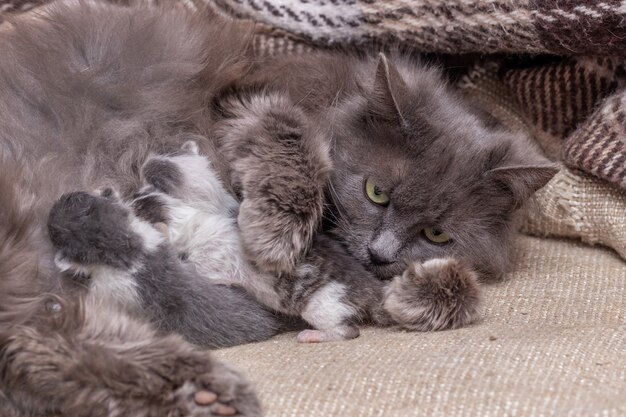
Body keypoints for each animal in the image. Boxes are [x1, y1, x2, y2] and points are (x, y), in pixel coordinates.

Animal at [0, 1, 556, 414]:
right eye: (376, 192)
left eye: (436, 234)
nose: (380, 254)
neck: (335, 93)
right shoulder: (244, 100)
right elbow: (292, 140)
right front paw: (274, 235)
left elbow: (451, 287)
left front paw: (413, 295)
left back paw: (196, 393)